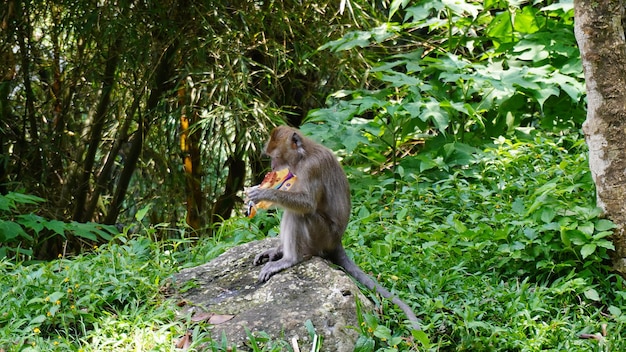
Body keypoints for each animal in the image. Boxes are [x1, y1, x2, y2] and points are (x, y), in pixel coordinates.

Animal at [245, 126, 420, 330]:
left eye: (277, 156)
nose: (273, 167)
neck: (303, 156)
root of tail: (337, 241)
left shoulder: (312, 168)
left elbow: (306, 204)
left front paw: (263, 193)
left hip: (321, 235)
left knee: (298, 214)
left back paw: (289, 259)